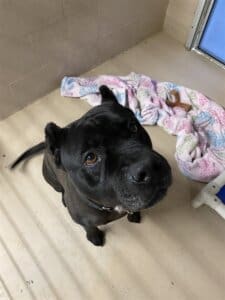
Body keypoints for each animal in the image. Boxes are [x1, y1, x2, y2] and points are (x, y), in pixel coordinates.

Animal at [10, 85, 171, 245]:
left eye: (133, 127)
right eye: (90, 158)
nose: (150, 166)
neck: (112, 206)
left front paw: (134, 215)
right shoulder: (82, 220)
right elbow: (89, 227)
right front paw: (94, 237)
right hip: (51, 180)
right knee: (60, 190)